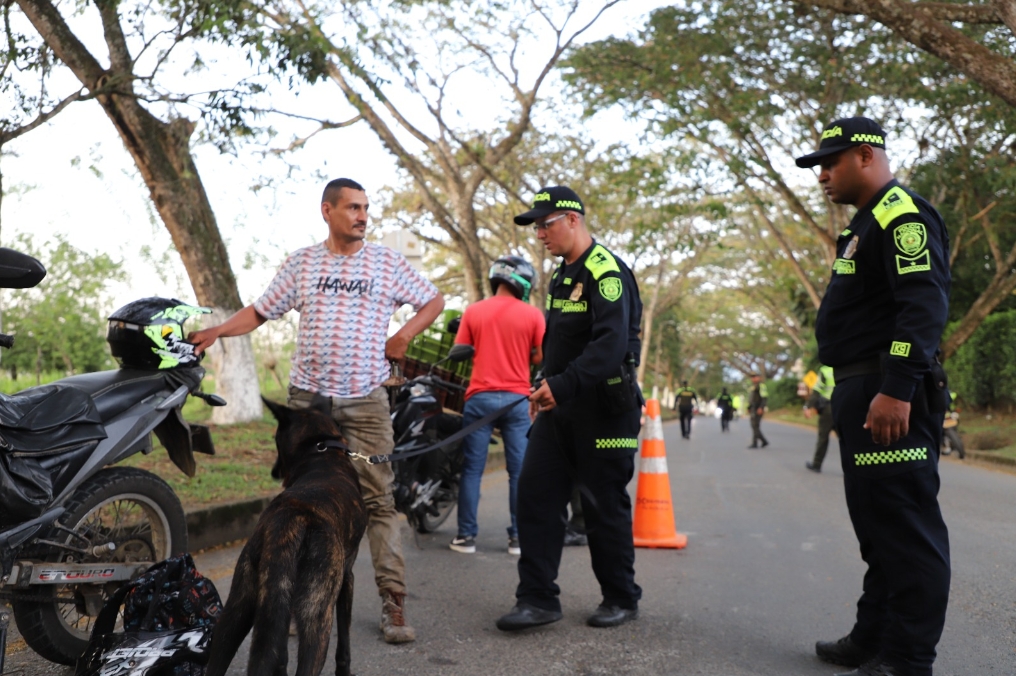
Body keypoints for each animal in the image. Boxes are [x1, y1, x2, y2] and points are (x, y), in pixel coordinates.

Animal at [204, 396, 367, 674]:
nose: (273, 472)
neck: (321, 453)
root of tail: (291, 519)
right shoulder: (348, 578)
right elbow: (344, 645)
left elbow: (280, 656)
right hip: (317, 619)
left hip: (238, 606)